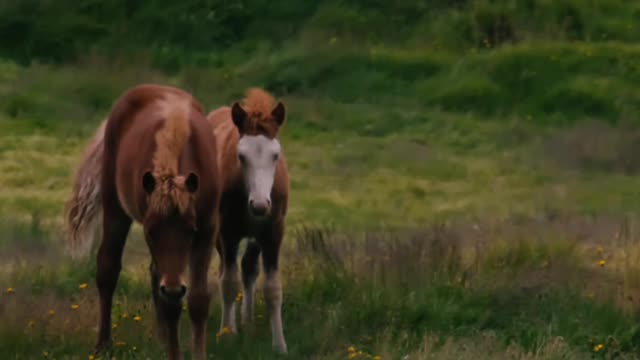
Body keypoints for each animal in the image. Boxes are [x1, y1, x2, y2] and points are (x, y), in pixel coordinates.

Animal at [63, 85, 221, 360]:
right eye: (150, 232)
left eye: (190, 231)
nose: (173, 288)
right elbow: (171, 304)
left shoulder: (207, 229)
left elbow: (198, 299)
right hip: (114, 208)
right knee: (108, 269)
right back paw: (103, 344)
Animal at [208, 88, 290, 352]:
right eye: (241, 156)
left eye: (275, 155)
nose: (260, 205)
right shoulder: (228, 232)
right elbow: (228, 283)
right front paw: (226, 335)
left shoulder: (273, 233)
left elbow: (273, 288)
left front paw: (279, 345)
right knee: (227, 271)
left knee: (248, 268)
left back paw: (249, 321)